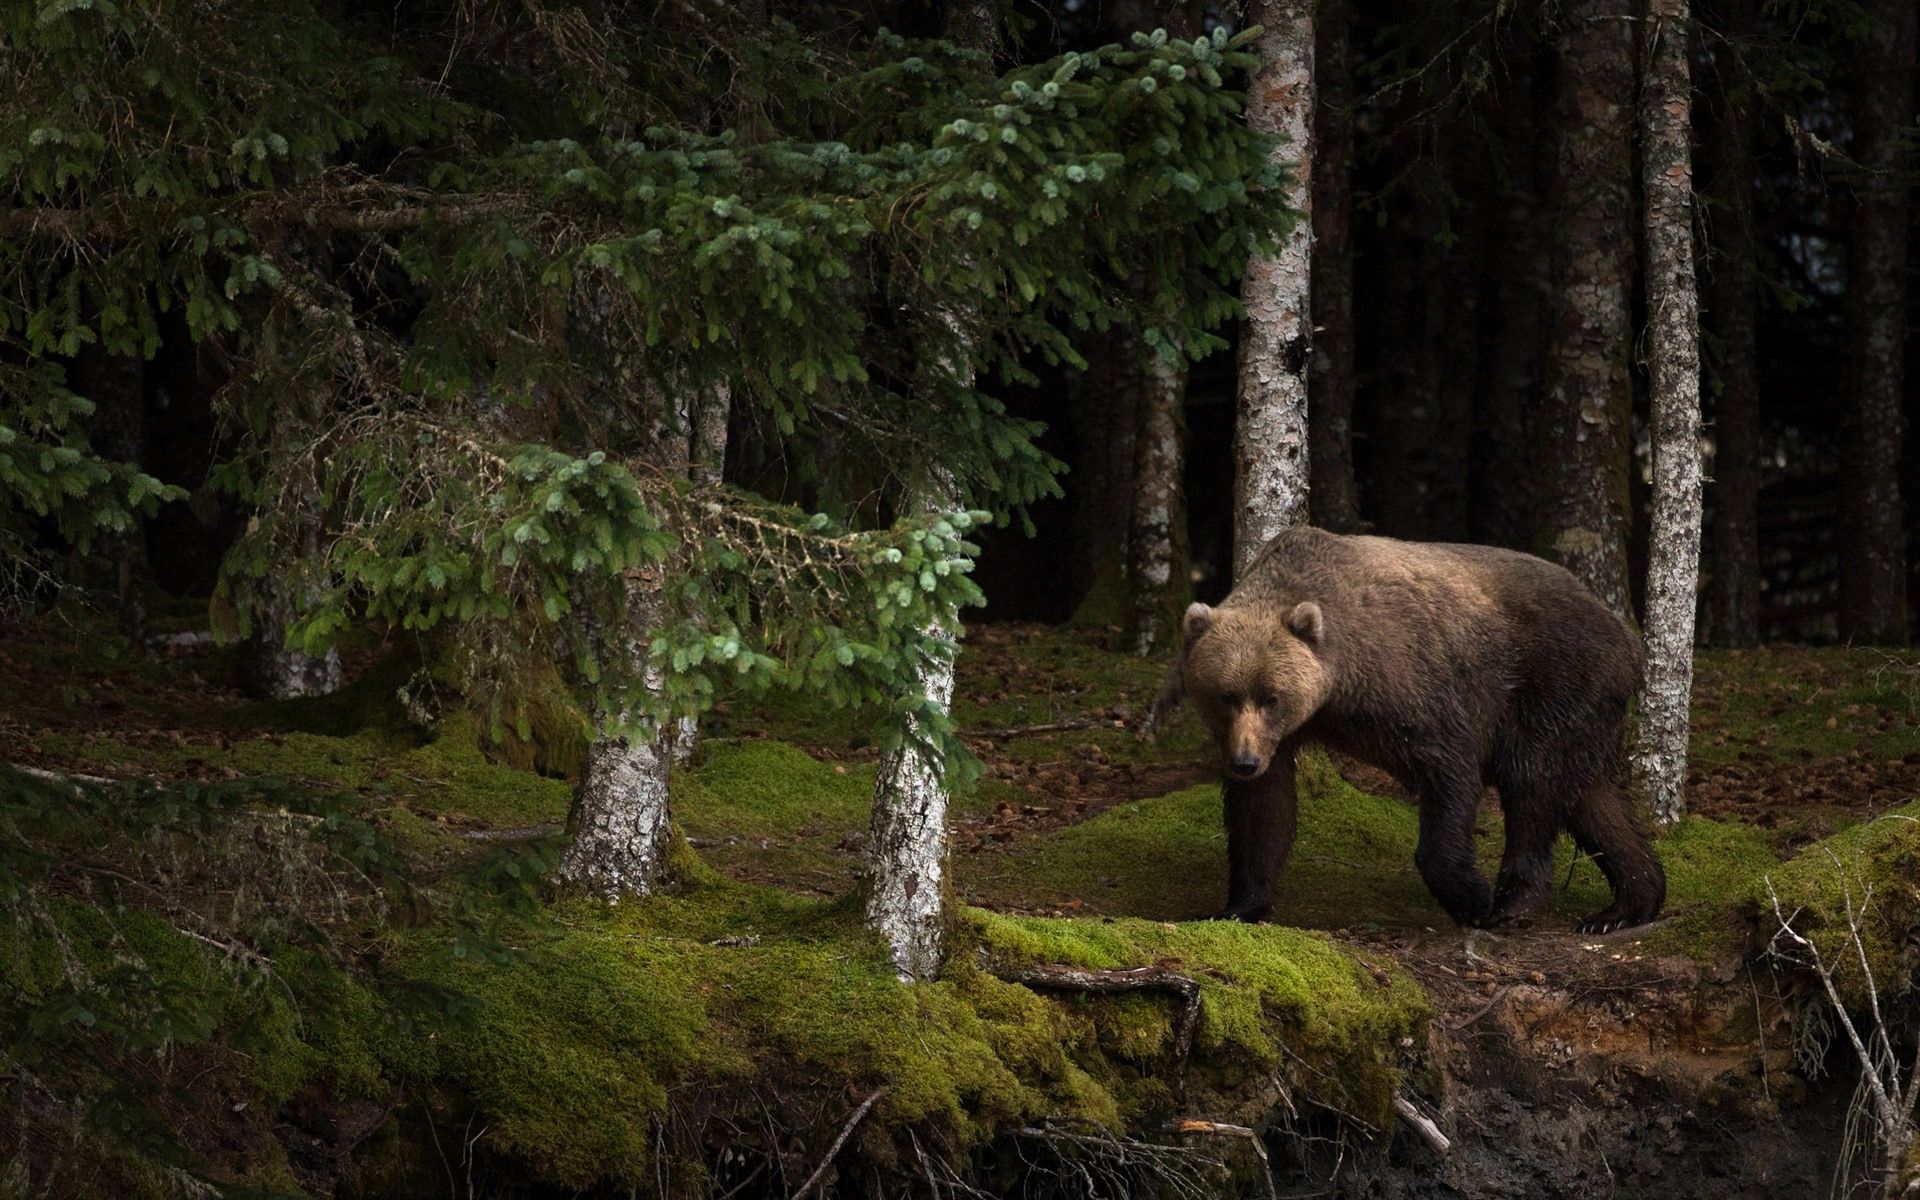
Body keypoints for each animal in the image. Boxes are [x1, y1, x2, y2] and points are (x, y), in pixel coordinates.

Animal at [1175, 526, 1665, 934]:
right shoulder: (1282, 736)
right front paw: (1238, 906)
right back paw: (1628, 904)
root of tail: (1627, 637)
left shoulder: (1412, 682)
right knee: (1592, 800)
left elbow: (1448, 770)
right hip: (1584, 713)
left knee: (1531, 778)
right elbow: (1263, 810)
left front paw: (1472, 897)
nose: (1244, 761)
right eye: (1225, 695)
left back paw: (1512, 898)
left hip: (1556, 679)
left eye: (1271, 696)